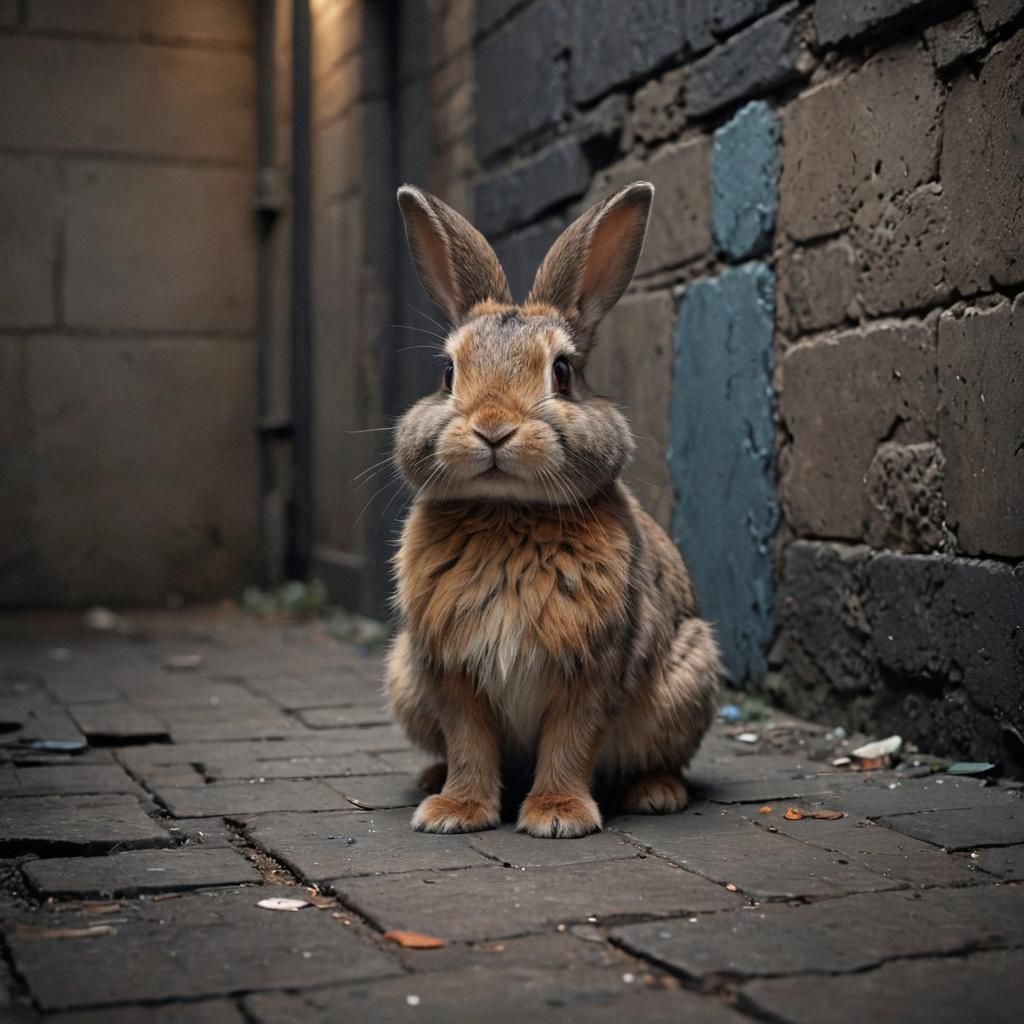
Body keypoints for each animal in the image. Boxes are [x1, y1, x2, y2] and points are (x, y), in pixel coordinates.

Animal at [385, 179, 721, 838]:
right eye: (447, 373)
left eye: (562, 372)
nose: (492, 428)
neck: (509, 512)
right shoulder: (449, 671)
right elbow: (468, 742)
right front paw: (455, 813)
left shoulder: (593, 666)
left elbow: (571, 740)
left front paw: (558, 816)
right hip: (403, 679)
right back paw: (431, 781)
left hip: (688, 678)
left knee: (659, 758)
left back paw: (657, 794)